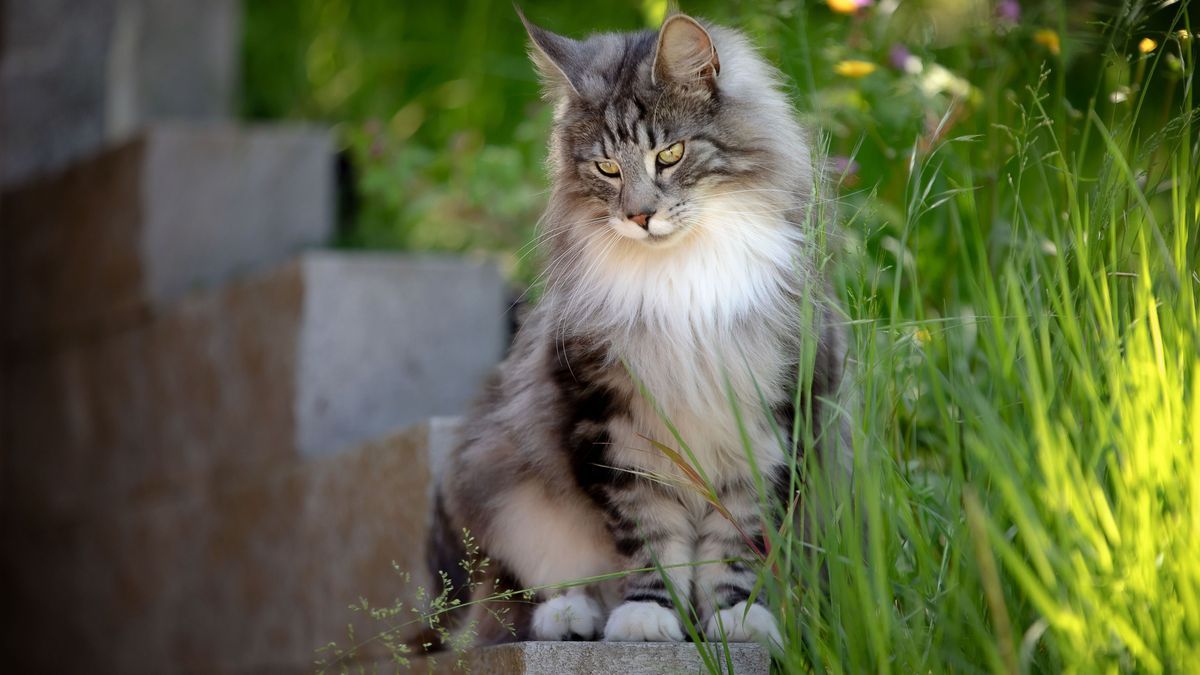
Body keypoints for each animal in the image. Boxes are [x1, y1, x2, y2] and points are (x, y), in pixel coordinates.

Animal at [436, 9, 849, 638]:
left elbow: (739, 539)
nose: (639, 216)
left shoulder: (775, 415)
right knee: (516, 591)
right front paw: (649, 617)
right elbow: (650, 538)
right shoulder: (612, 424)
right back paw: (571, 614)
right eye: (607, 167)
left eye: (671, 155)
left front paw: (734, 618)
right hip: (499, 480)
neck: (683, 281)